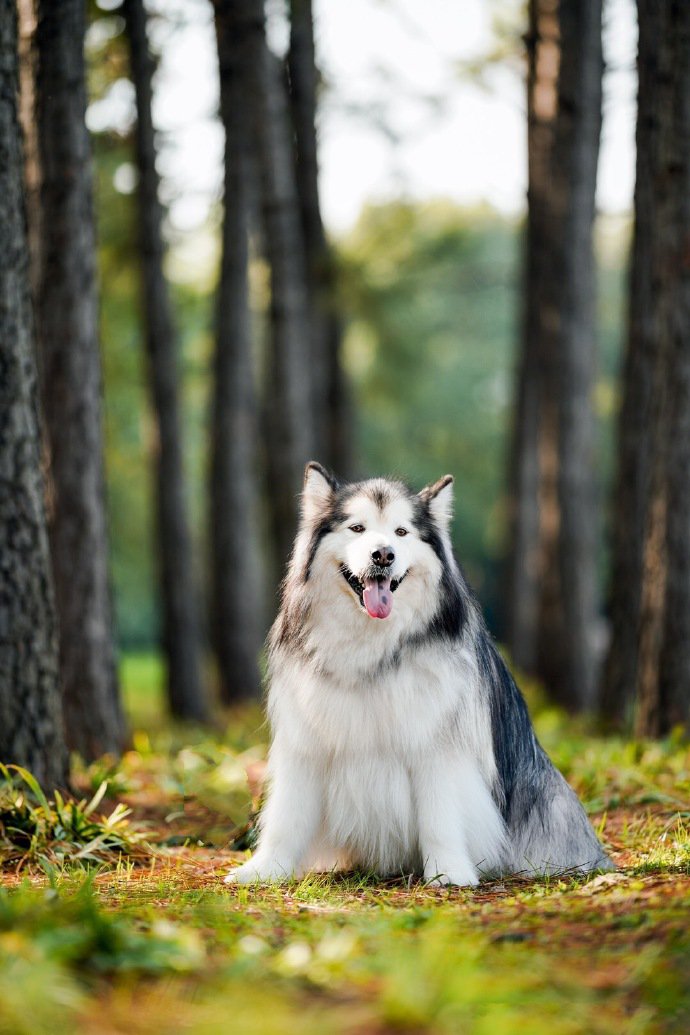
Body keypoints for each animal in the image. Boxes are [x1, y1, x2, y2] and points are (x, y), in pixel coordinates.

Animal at [225, 465, 608, 885]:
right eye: (357, 528)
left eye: (401, 532)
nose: (383, 554)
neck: (373, 646)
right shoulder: (306, 742)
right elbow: (286, 816)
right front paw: (265, 869)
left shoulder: (435, 745)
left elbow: (440, 816)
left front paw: (448, 873)